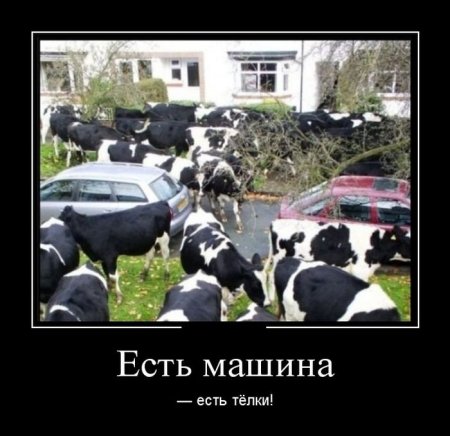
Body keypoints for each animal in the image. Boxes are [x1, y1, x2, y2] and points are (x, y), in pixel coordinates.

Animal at [265, 219, 410, 301]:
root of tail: (276, 222)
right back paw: (272, 299)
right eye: (408, 241)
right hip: (279, 257)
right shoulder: (360, 270)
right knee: (271, 276)